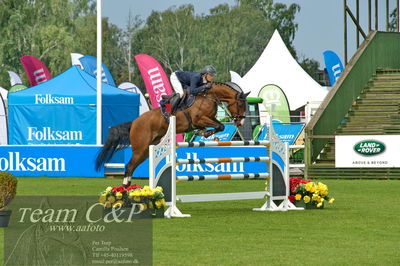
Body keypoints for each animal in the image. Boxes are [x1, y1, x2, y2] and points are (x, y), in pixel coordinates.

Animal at [95, 82, 248, 186]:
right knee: (129, 166)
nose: (241, 122)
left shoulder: (208, 118)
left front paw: (203, 132)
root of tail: (134, 123)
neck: (209, 96)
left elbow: (220, 125)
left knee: (132, 166)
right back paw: (125, 190)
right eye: (241, 104)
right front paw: (205, 133)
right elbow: (219, 126)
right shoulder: (199, 118)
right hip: (140, 148)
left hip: (148, 149)